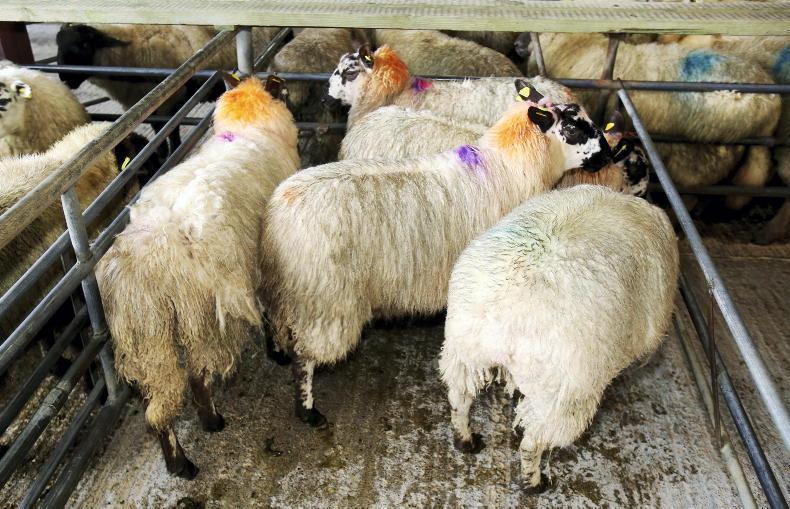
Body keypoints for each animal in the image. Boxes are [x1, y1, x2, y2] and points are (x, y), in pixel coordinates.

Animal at [95, 75, 298, 479]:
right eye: (283, 90)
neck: (249, 127)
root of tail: (150, 249)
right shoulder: (261, 259)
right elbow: (267, 309)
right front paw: (276, 351)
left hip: (146, 331)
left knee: (157, 404)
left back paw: (178, 461)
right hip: (200, 316)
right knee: (196, 376)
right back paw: (209, 425)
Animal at [260, 82, 611, 427]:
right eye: (573, 127)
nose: (608, 154)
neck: (511, 165)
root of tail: (281, 209)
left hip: (284, 283)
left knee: (271, 314)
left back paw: (276, 353)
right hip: (325, 301)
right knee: (306, 358)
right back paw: (308, 410)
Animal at [439, 184, 678, 491]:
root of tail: (506, 315)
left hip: (463, 355)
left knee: (459, 400)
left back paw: (465, 440)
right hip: (560, 396)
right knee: (532, 444)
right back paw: (533, 483)